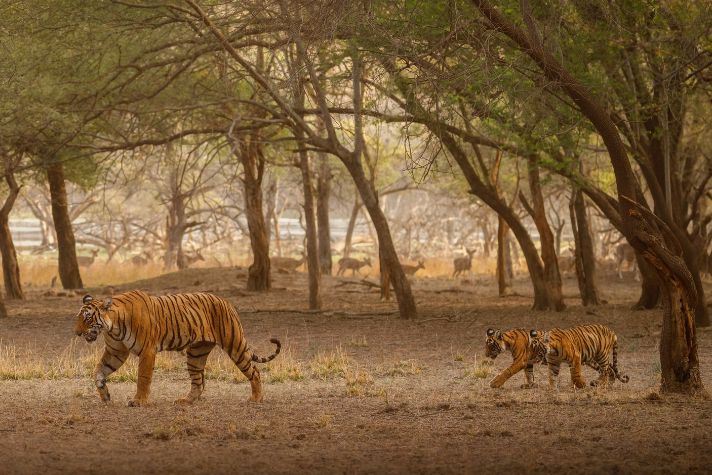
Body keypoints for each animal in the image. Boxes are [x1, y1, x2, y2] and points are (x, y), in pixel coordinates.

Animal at [74, 290, 281, 406]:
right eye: (78, 318)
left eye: (87, 318)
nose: (76, 333)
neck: (113, 327)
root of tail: (226, 301)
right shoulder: (116, 352)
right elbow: (98, 371)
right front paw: (105, 395)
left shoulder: (147, 351)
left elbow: (143, 378)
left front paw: (139, 401)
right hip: (196, 353)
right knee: (198, 382)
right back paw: (185, 401)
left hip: (234, 344)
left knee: (254, 372)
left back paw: (256, 398)